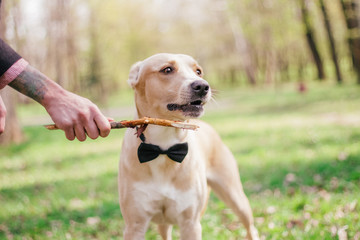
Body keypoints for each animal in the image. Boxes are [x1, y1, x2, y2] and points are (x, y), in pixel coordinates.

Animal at [119, 53, 258, 239]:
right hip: (163, 222)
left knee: (250, 226)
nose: (203, 86)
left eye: (198, 71)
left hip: (235, 196)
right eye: (167, 69)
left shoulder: (190, 223)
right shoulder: (135, 225)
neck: (164, 147)